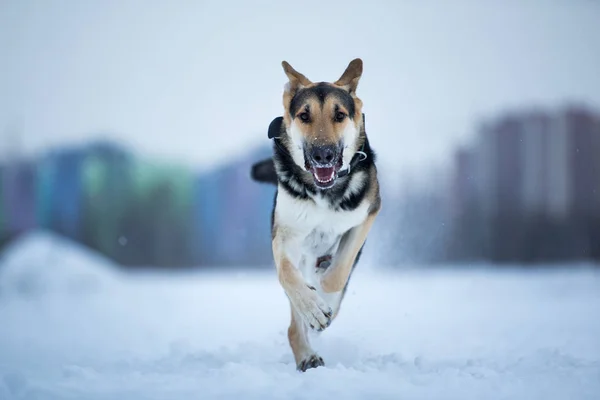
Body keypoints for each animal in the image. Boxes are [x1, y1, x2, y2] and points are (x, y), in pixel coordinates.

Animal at [251, 58, 382, 372]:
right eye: (304, 115)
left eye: (339, 115)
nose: (323, 155)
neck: (324, 192)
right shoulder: (286, 236)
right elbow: (288, 275)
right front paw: (313, 307)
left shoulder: (368, 214)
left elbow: (338, 273)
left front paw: (324, 296)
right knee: (293, 324)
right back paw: (307, 355)